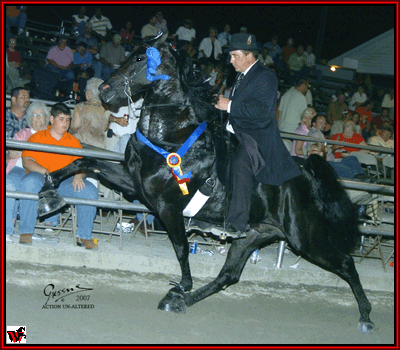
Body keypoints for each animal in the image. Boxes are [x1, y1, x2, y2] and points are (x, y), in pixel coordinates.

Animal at [38, 32, 376, 334]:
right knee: (229, 275)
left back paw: (366, 316)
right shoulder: (134, 183)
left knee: (346, 264)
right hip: (255, 234)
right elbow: (84, 162)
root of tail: (305, 171)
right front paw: (48, 194)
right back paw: (180, 302)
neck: (171, 136)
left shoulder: (168, 206)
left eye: (139, 58)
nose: (105, 90)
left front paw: (183, 284)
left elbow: (180, 249)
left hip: (305, 238)